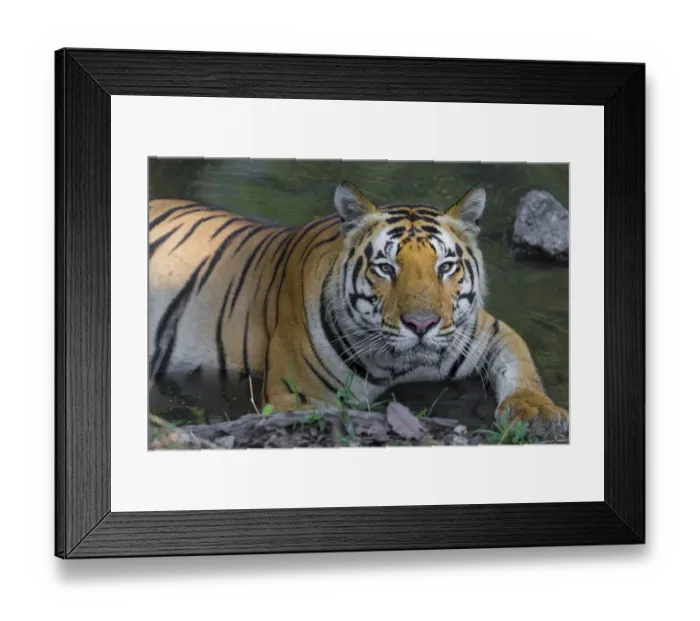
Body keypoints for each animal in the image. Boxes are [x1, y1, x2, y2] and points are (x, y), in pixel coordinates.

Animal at [148, 182, 568, 425]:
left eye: (445, 266)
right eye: (385, 267)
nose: (421, 325)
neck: (399, 366)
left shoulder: (489, 330)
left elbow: (523, 369)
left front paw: (537, 412)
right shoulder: (292, 396)